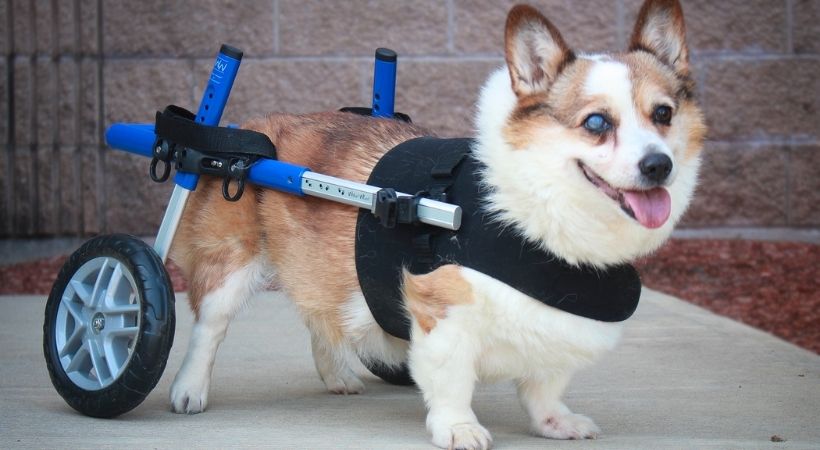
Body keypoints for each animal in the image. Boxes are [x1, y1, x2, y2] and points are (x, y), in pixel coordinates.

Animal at [167, 1, 704, 448]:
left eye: (663, 113)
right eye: (596, 123)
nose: (658, 166)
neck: (534, 217)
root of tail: (246, 130)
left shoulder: (554, 331)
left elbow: (544, 385)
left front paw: (554, 422)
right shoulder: (442, 312)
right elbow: (451, 381)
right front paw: (458, 428)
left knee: (320, 314)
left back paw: (338, 375)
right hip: (230, 263)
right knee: (209, 328)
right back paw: (188, 390)